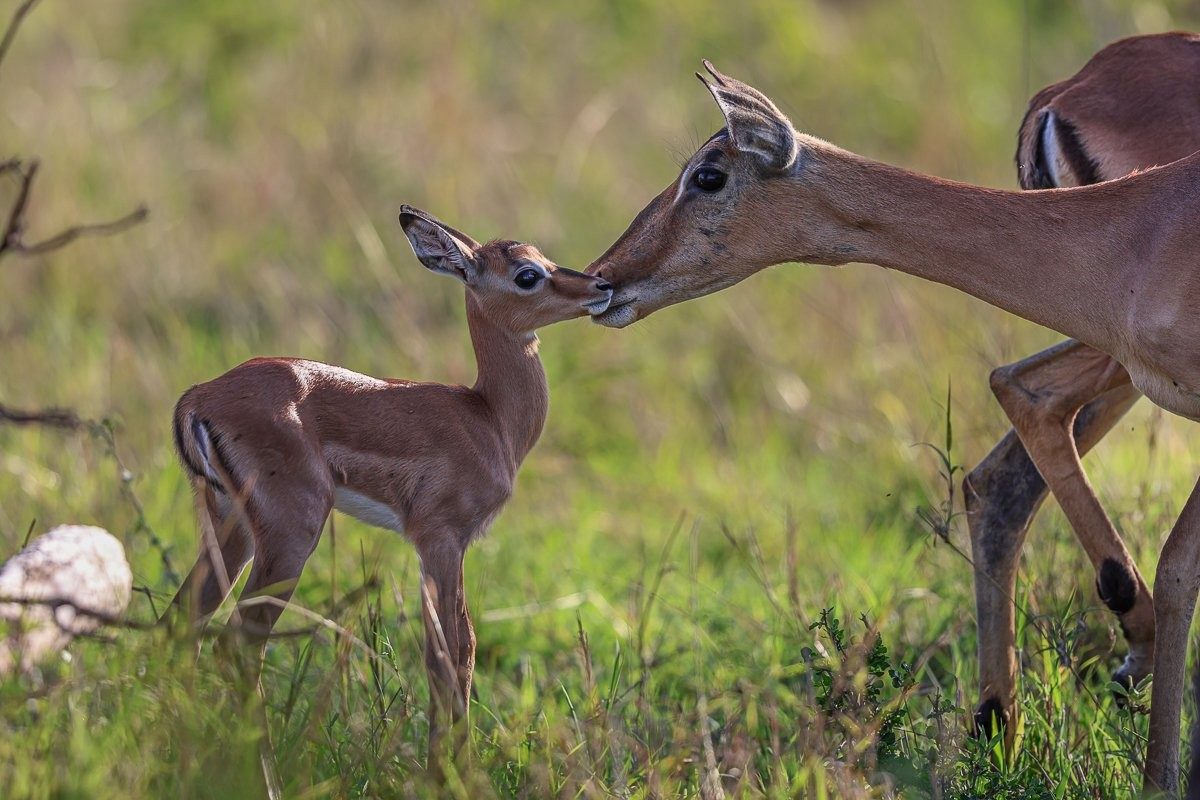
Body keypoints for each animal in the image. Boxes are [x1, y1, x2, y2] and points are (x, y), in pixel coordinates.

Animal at [168, 206, 613, 752]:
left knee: (180, 622)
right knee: (237, 645)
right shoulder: (441, 538)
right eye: (527, 274)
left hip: (233, 528)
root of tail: (199, 396)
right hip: (291, 536)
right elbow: (452, 652)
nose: (600, 285)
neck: (488, 418)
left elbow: (450, 649)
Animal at [586, 54, 1200, 794]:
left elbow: (1177, 570)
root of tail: (1065, 95)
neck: (1139, 232)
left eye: (708, 175)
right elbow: (1179, 569)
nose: (601, 278)